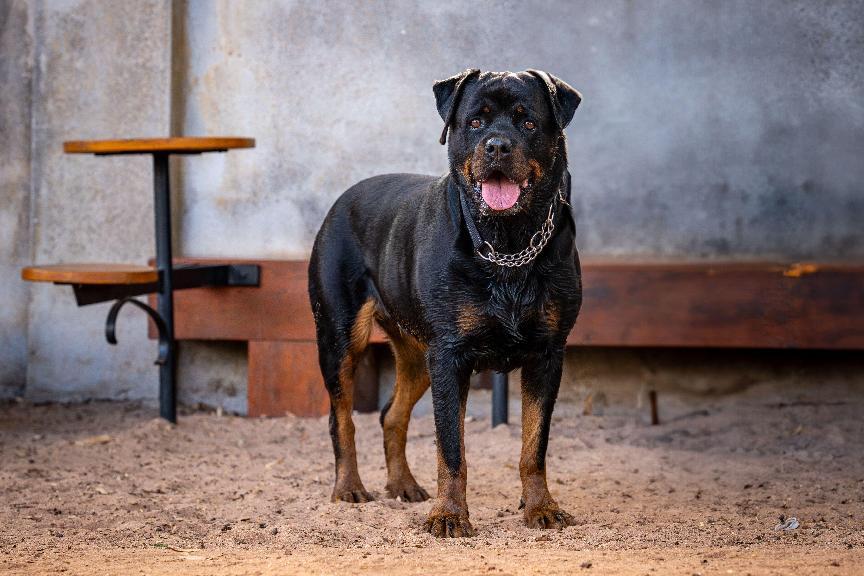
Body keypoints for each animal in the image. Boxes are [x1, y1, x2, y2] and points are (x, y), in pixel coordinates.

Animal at [308, 70, 584, 536]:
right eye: (475, 122)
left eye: (528, 123)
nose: (497, 145)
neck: (506, 244)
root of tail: (341, 200)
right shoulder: (451, 355)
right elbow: (452, 448)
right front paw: (450, 515)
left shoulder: (548, 353)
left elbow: (534, 444)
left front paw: (541, 507)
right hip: (340, 335)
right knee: (341, 416)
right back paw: (349, 488)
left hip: (418, 354)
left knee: (391, 414)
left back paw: (403, 485)